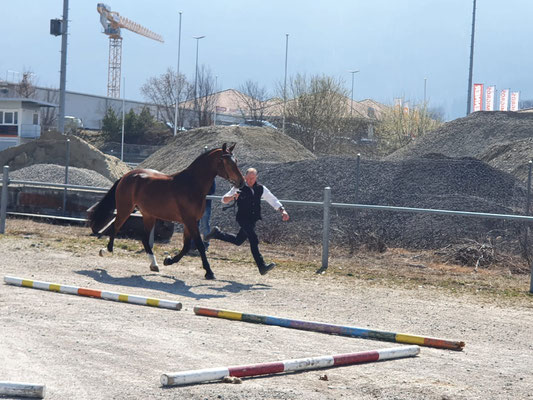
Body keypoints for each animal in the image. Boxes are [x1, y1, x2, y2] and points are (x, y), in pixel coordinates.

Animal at [86, 142, 244, 280]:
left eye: (236, 160)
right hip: (125, 209)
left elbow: (187, 246)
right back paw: (105, 251)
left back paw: (154, 265)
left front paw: (168, 260)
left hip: (148, 215)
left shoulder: (190, 222)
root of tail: (127, 175)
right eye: (227, 162)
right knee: (115, 227)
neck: (192, 185)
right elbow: (198, 245)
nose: (241, 182)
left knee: (144, 239)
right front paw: (209, 272)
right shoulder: (190, 221)